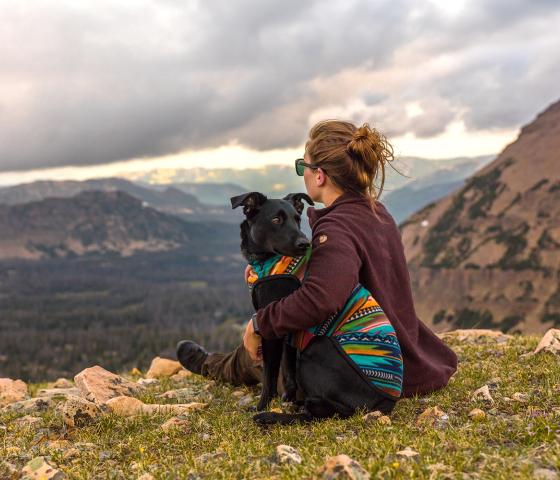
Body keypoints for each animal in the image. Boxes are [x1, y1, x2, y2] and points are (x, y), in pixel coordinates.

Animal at [230, 191, 312, 412]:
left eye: (297, 219)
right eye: (276, 220)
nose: (305, 243)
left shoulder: (271, 326)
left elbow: (270, 374)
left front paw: (262, 405)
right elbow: (288, 369)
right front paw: (289, 398)